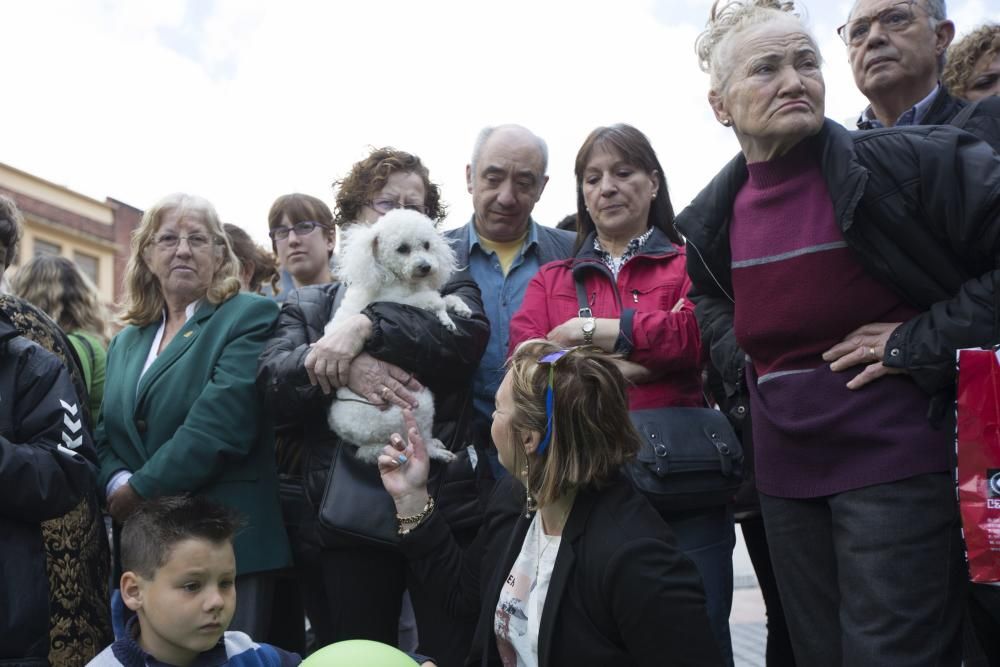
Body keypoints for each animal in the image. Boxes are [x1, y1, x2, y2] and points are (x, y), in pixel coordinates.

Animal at [326, 209, 470, 464]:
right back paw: (438, 452)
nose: (426, 267)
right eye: (402, 248)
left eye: (427, 245)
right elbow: (433, 300)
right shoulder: (398, 301)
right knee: (419, 443)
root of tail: (357, 439)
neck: (395, 278)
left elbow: (444, 297)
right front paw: (446, 317)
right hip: (415, 403)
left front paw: (460, 307)